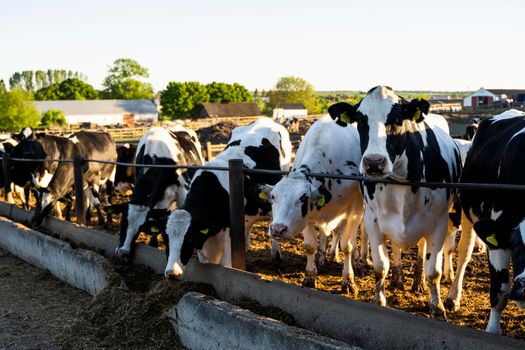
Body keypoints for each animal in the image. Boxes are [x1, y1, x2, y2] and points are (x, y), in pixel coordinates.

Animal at [165, 117, 290, 278]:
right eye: (166, 239)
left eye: (189, 239)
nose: (171, 274)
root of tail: (265, 119)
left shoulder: (228, 233)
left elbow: (225, 266)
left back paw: (276, 255)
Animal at [258, 115, 362, 292]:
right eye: (273, 196)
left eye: (302, 198)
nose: (277, 229)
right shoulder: (306, 217)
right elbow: (310, 245)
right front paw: (309, 277)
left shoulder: (355, 208)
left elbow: (347, 245)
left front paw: (348, 280)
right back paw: (323, 257)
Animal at [328, 86, 462, 318]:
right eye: (360, 120)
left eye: (398, 119)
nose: (373, 162)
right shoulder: (373, 219)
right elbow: (381, 265)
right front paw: (379, 299)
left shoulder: (438, 222)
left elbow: (433, 271)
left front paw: (437, 308)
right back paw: (398, 280)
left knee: (422, 253)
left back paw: (418, 283)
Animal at [456, 109, 524, 334]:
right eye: (516, 244)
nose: (524, 288)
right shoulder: (499, 237)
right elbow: (499, 292)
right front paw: (493, 331)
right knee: (464, 251)